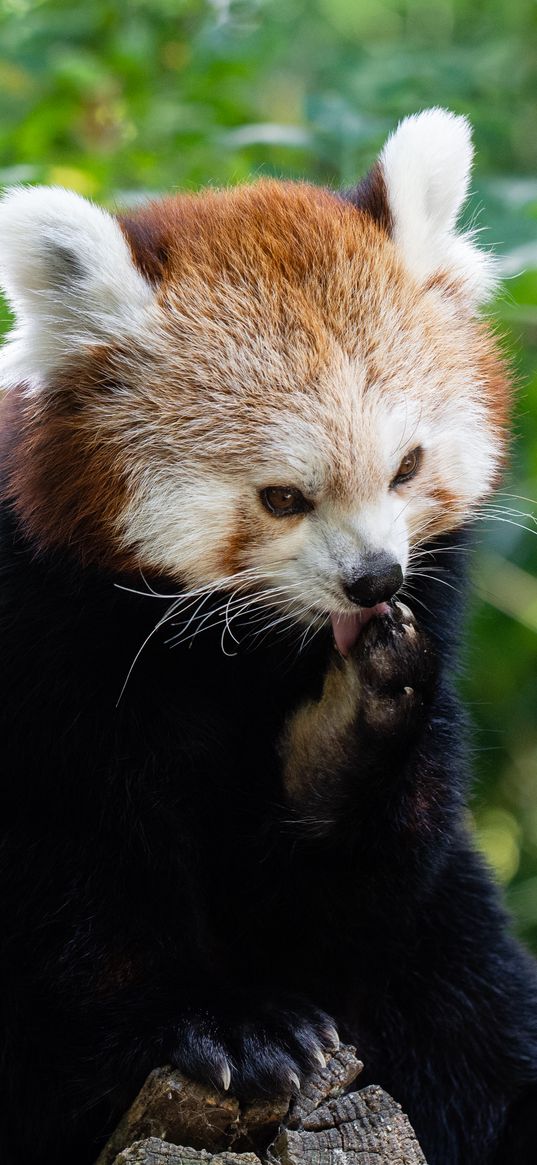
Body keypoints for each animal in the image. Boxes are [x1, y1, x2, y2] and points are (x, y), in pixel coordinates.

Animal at [0, 109, 533, 1165]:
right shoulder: (39, 637)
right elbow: (76, 874)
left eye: (406, 466)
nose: (374, 577)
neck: (236, 656)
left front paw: (350, 720)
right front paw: (223, 1022)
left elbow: (349, 898)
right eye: (283, 497)